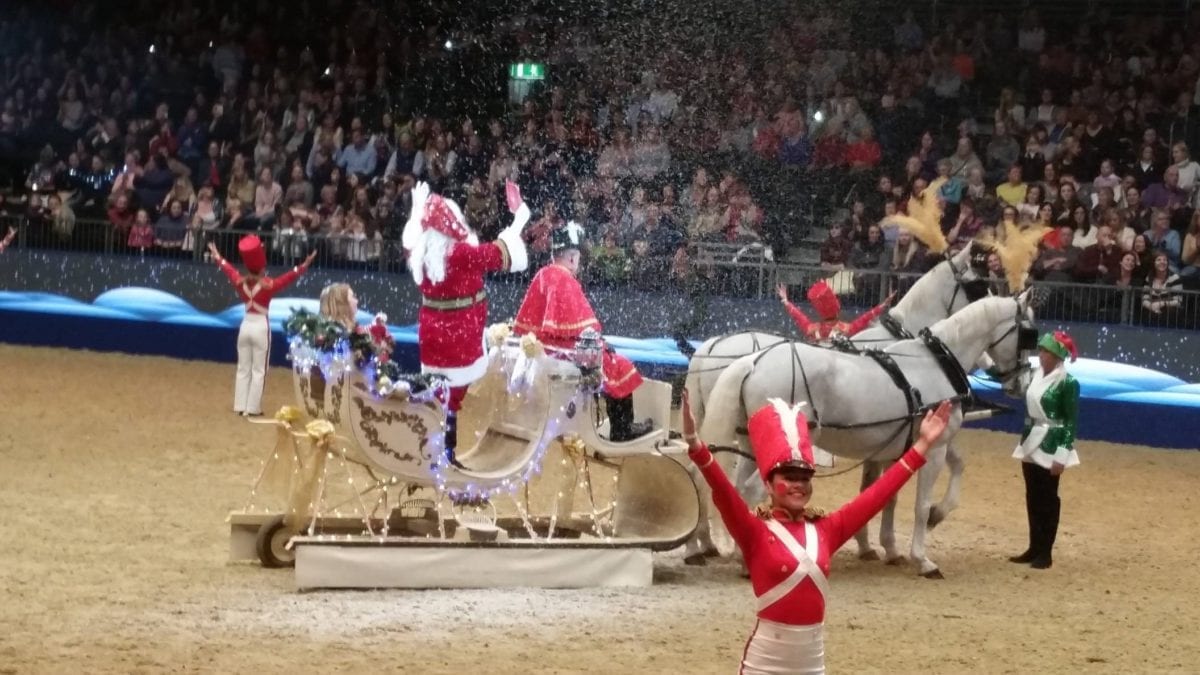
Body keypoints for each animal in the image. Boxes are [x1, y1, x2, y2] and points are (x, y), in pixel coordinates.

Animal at [700, 291, 1036, 576]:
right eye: (1028, 333)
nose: (1021, 382)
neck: (934, 363)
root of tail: (753, 362)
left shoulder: (902, 448)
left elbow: (892, 495)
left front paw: (899, 543)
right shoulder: (936, 447)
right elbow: (920, 504)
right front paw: (923, 556)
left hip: (750, 445)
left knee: (738, 488)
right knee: (753, 489)